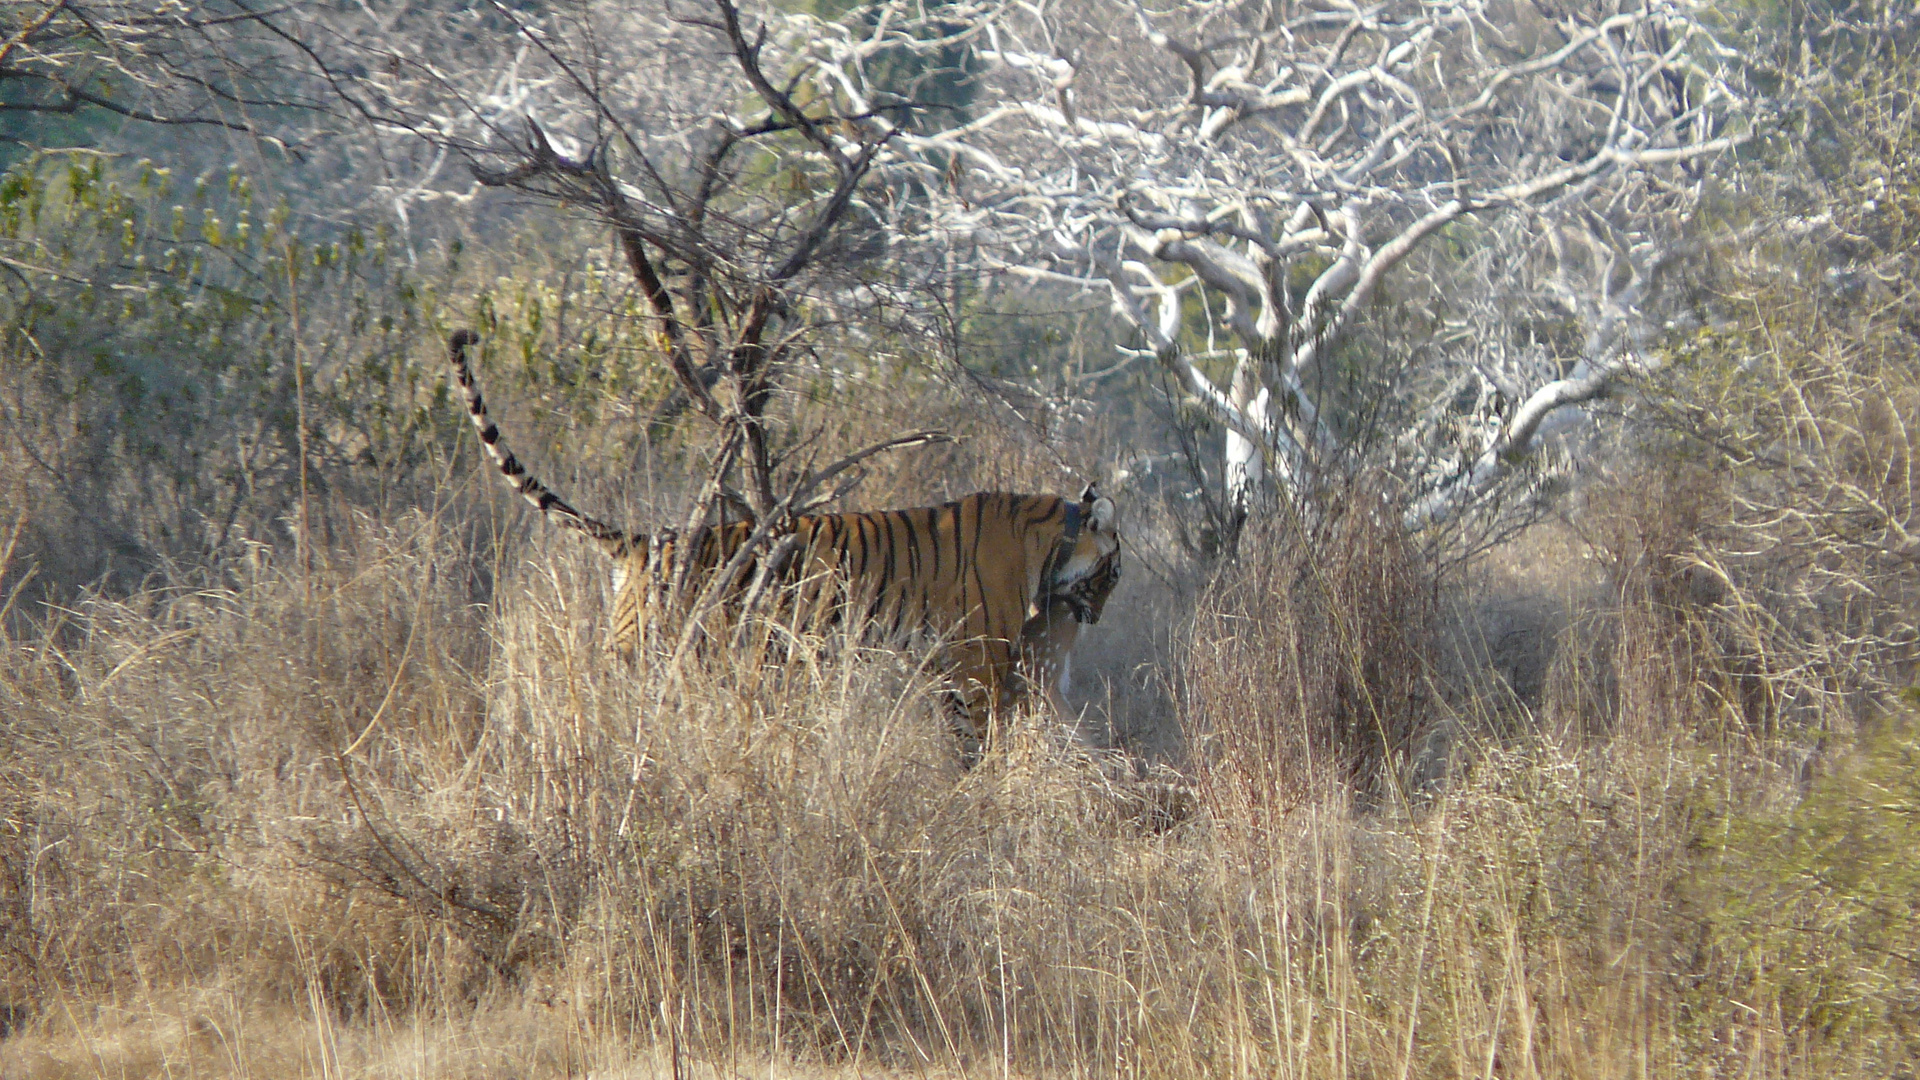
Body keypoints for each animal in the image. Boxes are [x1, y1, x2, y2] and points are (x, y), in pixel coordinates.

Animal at [441, 328, 1121, 745]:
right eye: (1114, 574)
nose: (1098, 614)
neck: (1053, 539)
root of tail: (646, 541)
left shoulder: (944, 665)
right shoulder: (977, 662)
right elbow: (980, 738)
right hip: (643, 650)